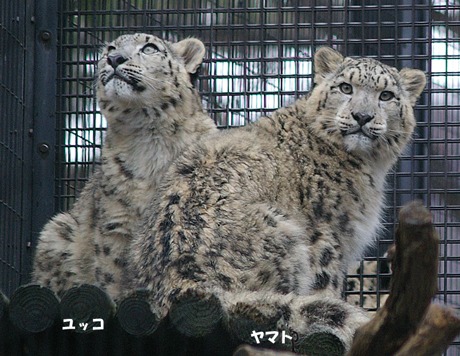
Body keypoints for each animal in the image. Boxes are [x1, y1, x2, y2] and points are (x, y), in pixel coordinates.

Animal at [31, 34, 217, 300]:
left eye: (150, 48)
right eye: (110, 48)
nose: (115, 58)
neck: (149, 139)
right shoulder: (116, 224)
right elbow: (113, 274)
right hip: (57, 231)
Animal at [124, 46, 426, 354]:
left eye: (386, 95)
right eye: (345, 87)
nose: (362, 116)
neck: (369, 166)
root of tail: (181, 284)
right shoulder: (328, 238)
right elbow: (325, 285)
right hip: (283, 236)